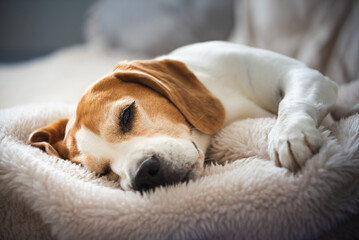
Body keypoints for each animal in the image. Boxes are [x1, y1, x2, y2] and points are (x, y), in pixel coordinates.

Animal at [29, 41, 338, 191]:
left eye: (127, 114)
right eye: (101, 172)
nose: (144, 174)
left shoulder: (303, 75)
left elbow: (293, 102)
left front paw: (290, 135)